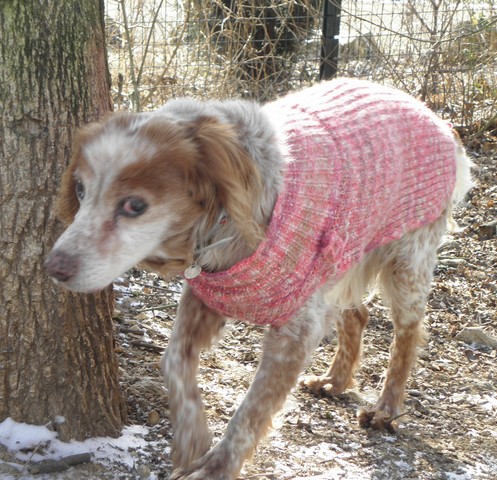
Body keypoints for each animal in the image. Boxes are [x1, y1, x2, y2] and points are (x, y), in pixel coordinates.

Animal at [44, 77, 470, 478]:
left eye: (135, 205)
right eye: (80, 189)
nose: (54, 267)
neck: (225, 222)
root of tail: (436, 119)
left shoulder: (295, 329)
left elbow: (252, 410)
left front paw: (216, 466)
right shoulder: (205, 297)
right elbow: (173, 362)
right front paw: (192, 439)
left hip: (407, 262)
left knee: (408, 332)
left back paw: (387, 408)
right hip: (346, 254)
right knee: (357, 314)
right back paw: (335, 380)